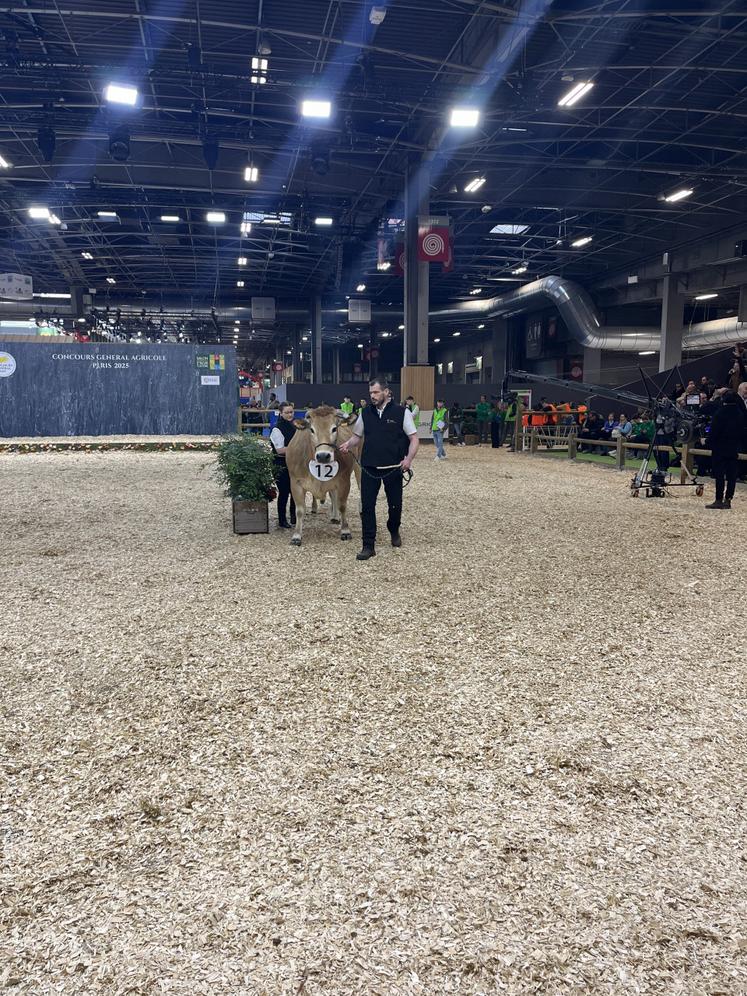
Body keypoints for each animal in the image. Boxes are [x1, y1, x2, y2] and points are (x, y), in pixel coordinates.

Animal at [284, 404, 360, 544]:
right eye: (311, 429)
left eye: (334, 428)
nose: (323, 455)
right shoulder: (295, 482)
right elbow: (299, 510)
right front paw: (297, 535)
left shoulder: (344, 480)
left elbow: (342, 505)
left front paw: (345, 530)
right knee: (333, 495)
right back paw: (333, 516)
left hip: (358, 467)